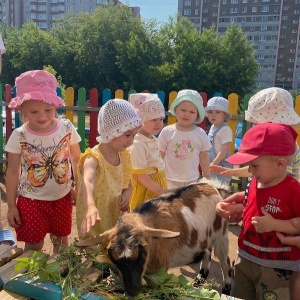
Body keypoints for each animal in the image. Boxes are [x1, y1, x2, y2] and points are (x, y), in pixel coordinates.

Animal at [77, 182, 232, 296]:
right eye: (115, 260)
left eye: (142, 255)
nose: (132, 291)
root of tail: (212, 187)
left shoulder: (159, 266)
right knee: (207, 253)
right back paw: (199, 279)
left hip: (221, 235)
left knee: (226, 262)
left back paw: (226, 290)